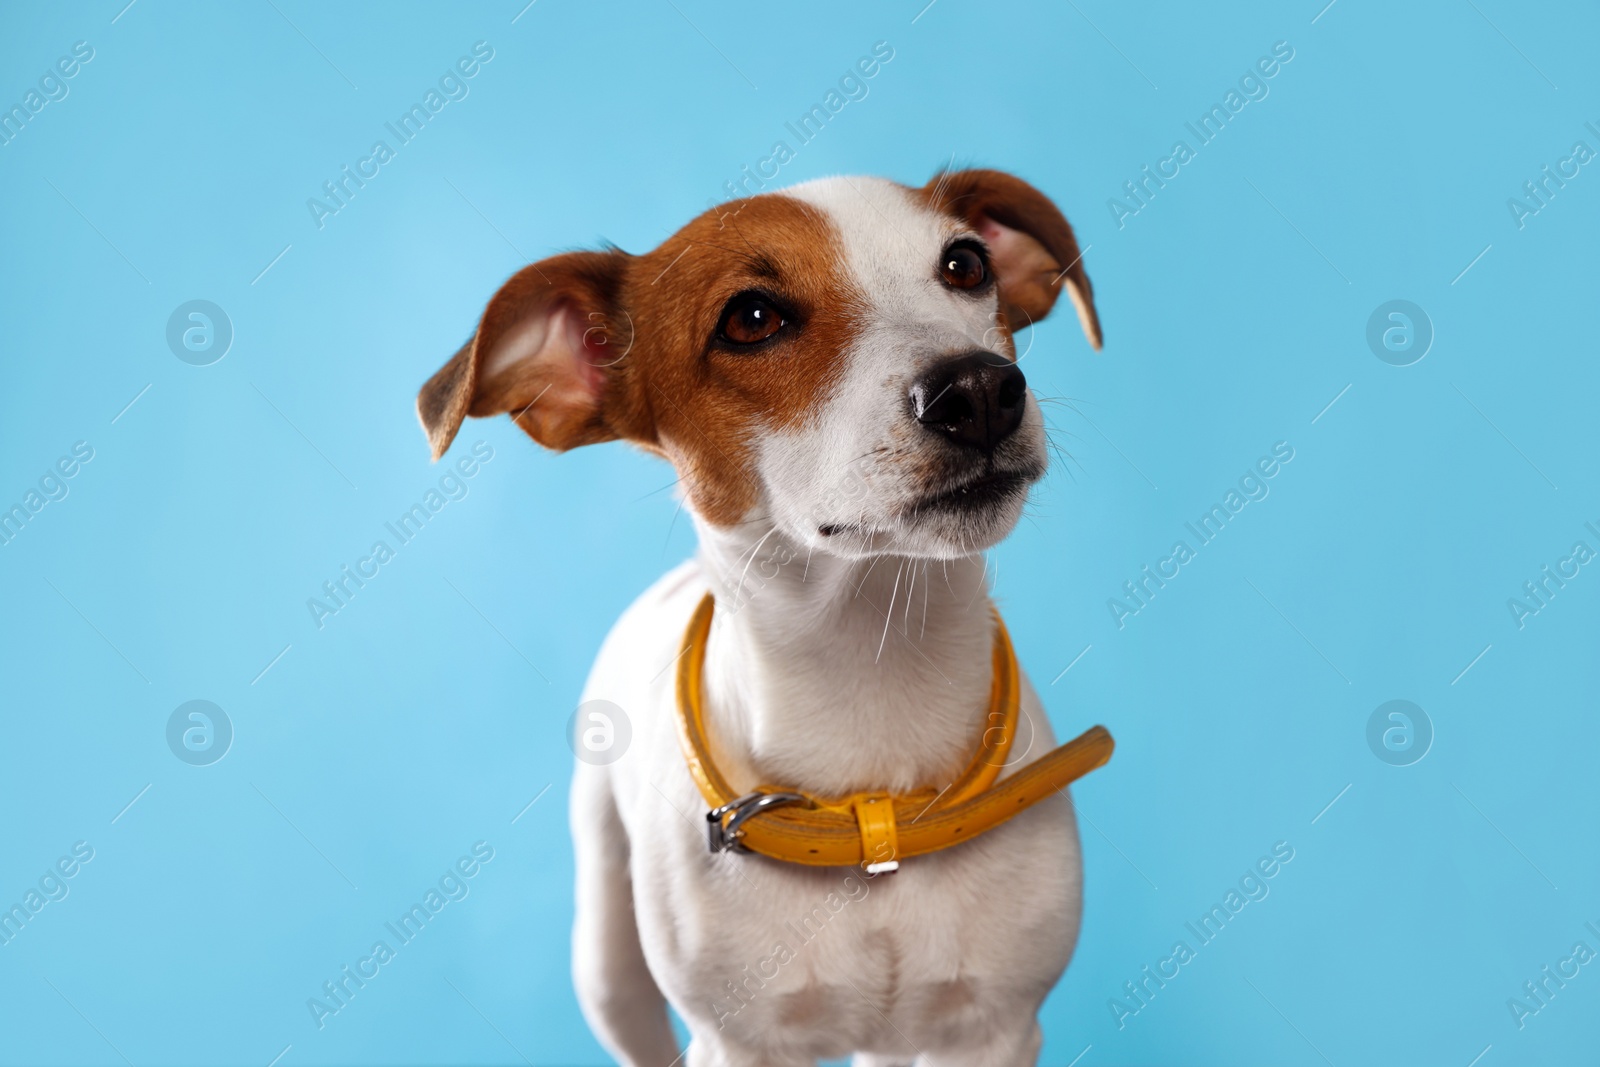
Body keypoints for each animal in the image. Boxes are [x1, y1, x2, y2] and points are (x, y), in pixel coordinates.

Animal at [419, 167, 1107, 1067]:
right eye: (751, 318)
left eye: (966, 265)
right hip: (606, 957)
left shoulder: (991, 1028)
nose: (981, 390)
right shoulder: (741, 1044)